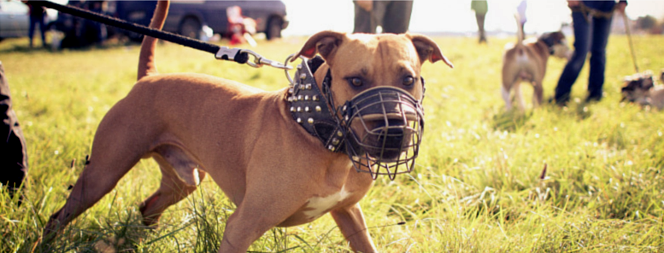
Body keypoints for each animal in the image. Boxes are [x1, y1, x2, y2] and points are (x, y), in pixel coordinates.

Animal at [42, 0, 456, 252]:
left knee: (147, 208)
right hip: (102, 174)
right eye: (356, 80)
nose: (394, 132)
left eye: (408, 79)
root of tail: (149, 78)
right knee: (57, 219)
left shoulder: (350, 215)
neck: (319, 132)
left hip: (184, 180)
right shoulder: (242, 225)